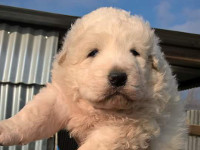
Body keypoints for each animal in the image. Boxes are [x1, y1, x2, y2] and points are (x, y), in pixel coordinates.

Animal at [0, 7, 187, 150]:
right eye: (93, 52)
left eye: (135, 52)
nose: (118, 77)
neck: (101, 109)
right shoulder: (59, 97)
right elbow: (33, 116)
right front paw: (5, 128)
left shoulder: (128, 127)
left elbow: (96, 144)